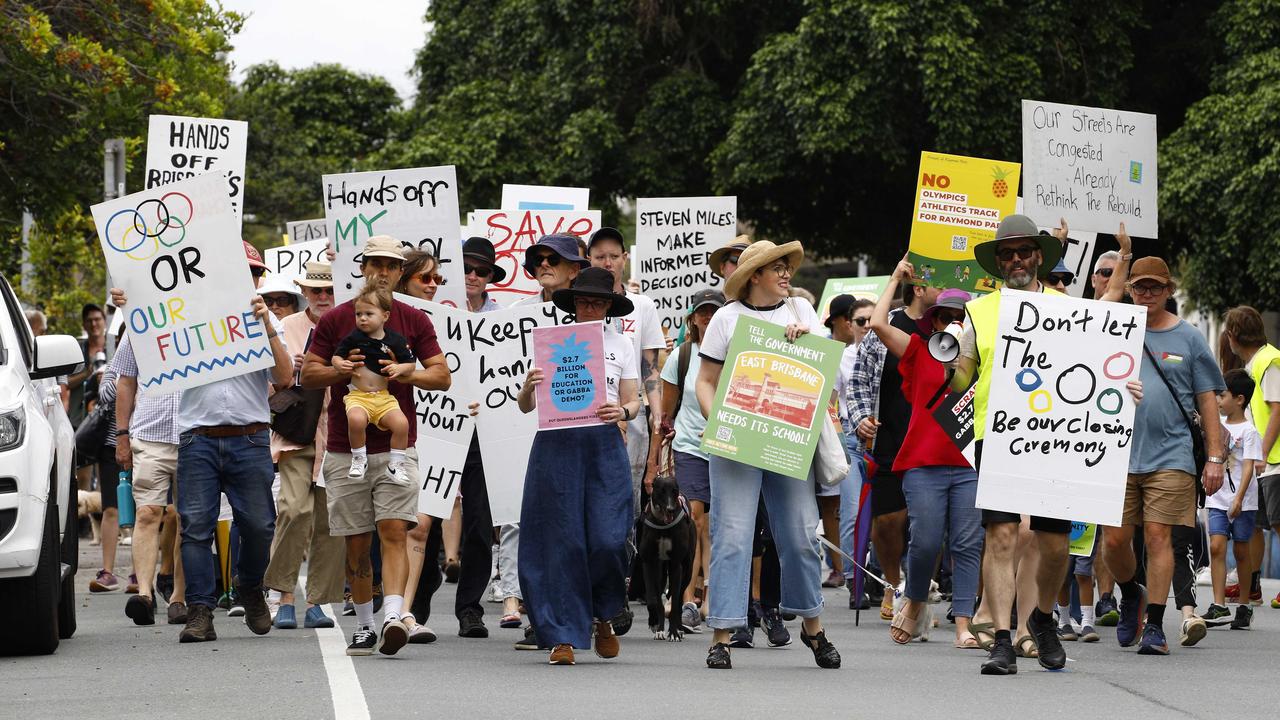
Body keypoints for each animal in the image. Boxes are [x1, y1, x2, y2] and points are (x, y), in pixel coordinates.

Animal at [637, 471, 696, 638]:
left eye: (675, 491)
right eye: (661, 491)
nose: (670, 509)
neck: (662, 525)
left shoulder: (676, 565)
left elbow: (675, 601)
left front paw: (674, 632)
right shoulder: (649, 562)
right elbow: (653, 599)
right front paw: (655, 623)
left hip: (687, 570)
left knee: (680, 597)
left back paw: (680, 628)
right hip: (661, 570)